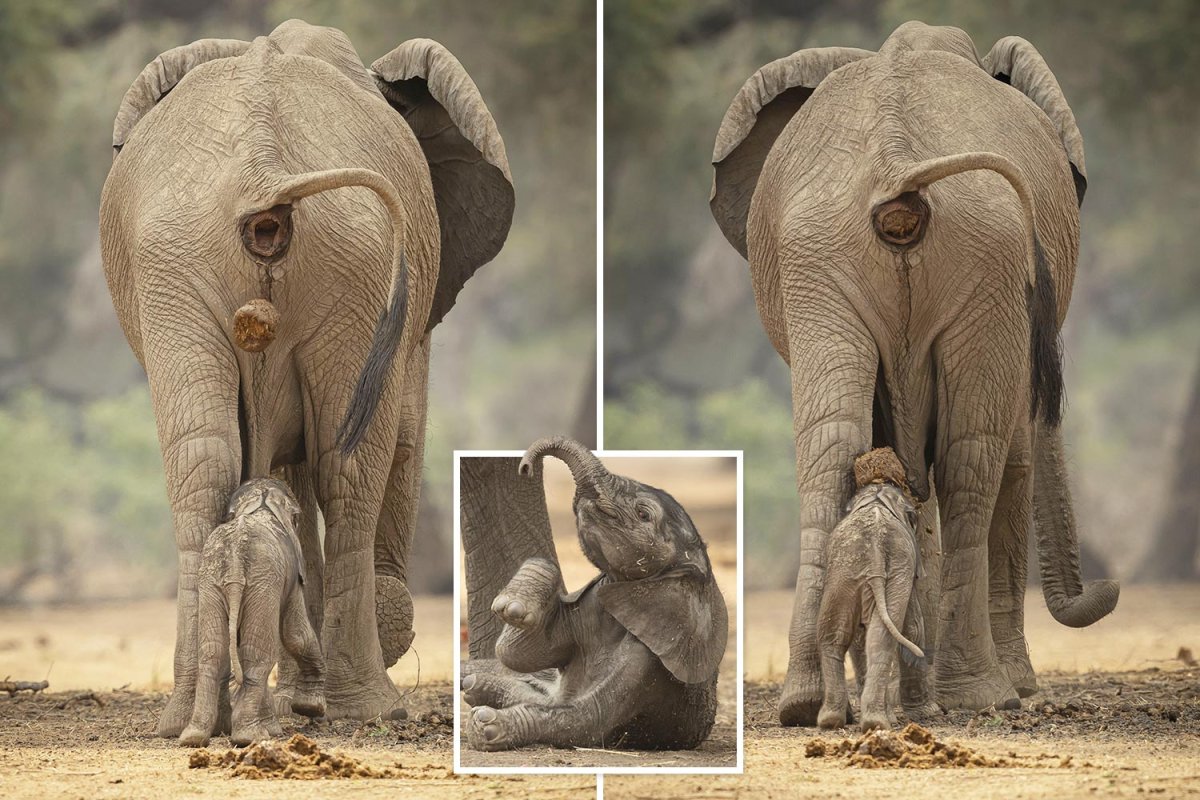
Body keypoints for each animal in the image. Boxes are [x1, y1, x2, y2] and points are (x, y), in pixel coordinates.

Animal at [180, 478, 324, 747]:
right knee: (257, 654)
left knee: (212, 652)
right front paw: (310, 708)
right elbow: (295, 634)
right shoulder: (290, 574)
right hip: (261, 581)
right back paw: (249, 738)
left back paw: (193, 738)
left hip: (213, 581)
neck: (261, 499)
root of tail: (236, 559)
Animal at [459, 437, 728, 751]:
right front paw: (513, 603)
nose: (525, 467)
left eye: (643, 514)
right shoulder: (589, 603)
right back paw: (476, 685)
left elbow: (587, 720)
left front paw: (486, 725)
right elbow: (522, 652)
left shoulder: (651, 652)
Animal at [817, 450, 928, 732]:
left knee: (837, 634)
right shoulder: (907, 566)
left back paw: (840, 721)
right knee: (873, 635)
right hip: (857, 570)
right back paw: (871, 722)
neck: (878, 496)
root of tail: (875, 549)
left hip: (845, 571)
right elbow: (912, 626)